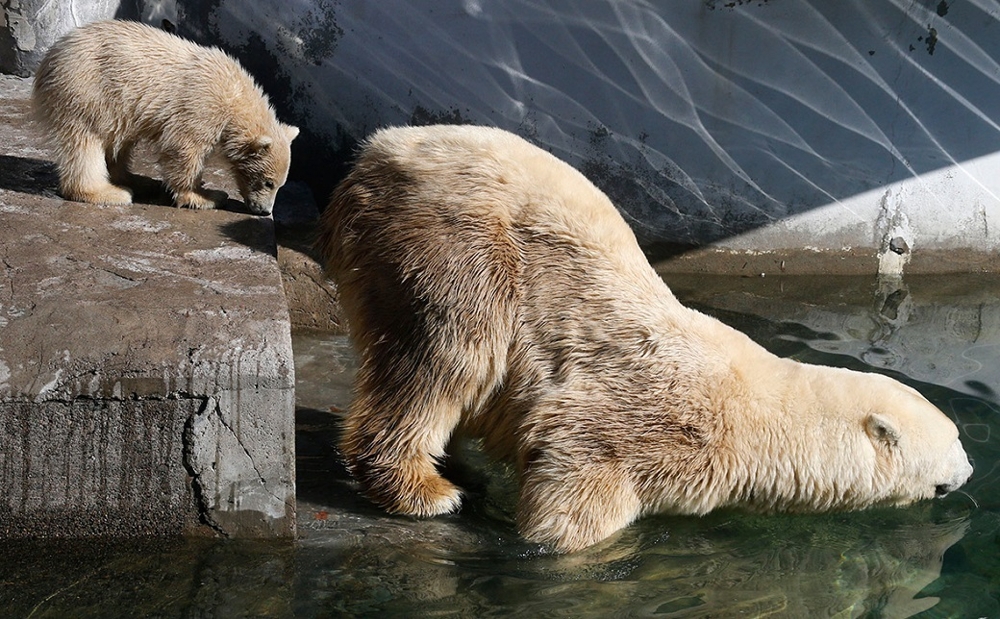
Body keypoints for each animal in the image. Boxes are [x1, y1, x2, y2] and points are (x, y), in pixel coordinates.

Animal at [318, 124, 968, 552]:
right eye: (954, 440)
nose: (967, 473)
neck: (756, 419)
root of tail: (379, 149)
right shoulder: (639, 421)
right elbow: (574, 487)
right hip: (456, 244)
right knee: (446, 355)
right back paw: (426, 490)